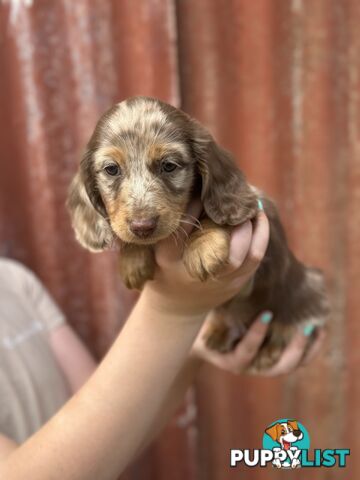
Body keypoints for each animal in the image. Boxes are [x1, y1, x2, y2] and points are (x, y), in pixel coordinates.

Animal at [66, 95, 328, 370]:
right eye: (111, 169)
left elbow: (212, 213)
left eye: (169, 166)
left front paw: (204, 247)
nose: (143, 226)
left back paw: (272, 345)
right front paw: (133, 258)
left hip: (310, 289)